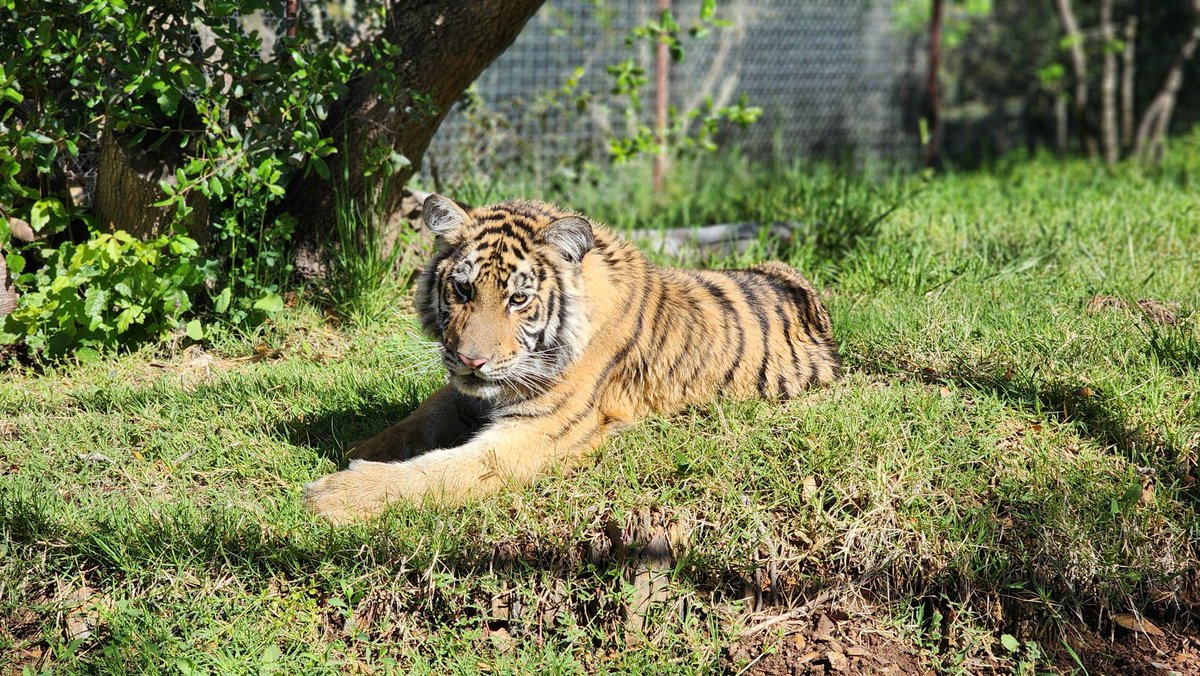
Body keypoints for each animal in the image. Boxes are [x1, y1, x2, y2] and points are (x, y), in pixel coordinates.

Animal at [304, 194, 840, 523]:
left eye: (518, 299)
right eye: (463, 289)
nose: (471, 361)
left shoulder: (534, 432)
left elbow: (436, 472)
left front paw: (334, 494)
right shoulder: (463, 395)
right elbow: (416, 420)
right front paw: (360, 448)